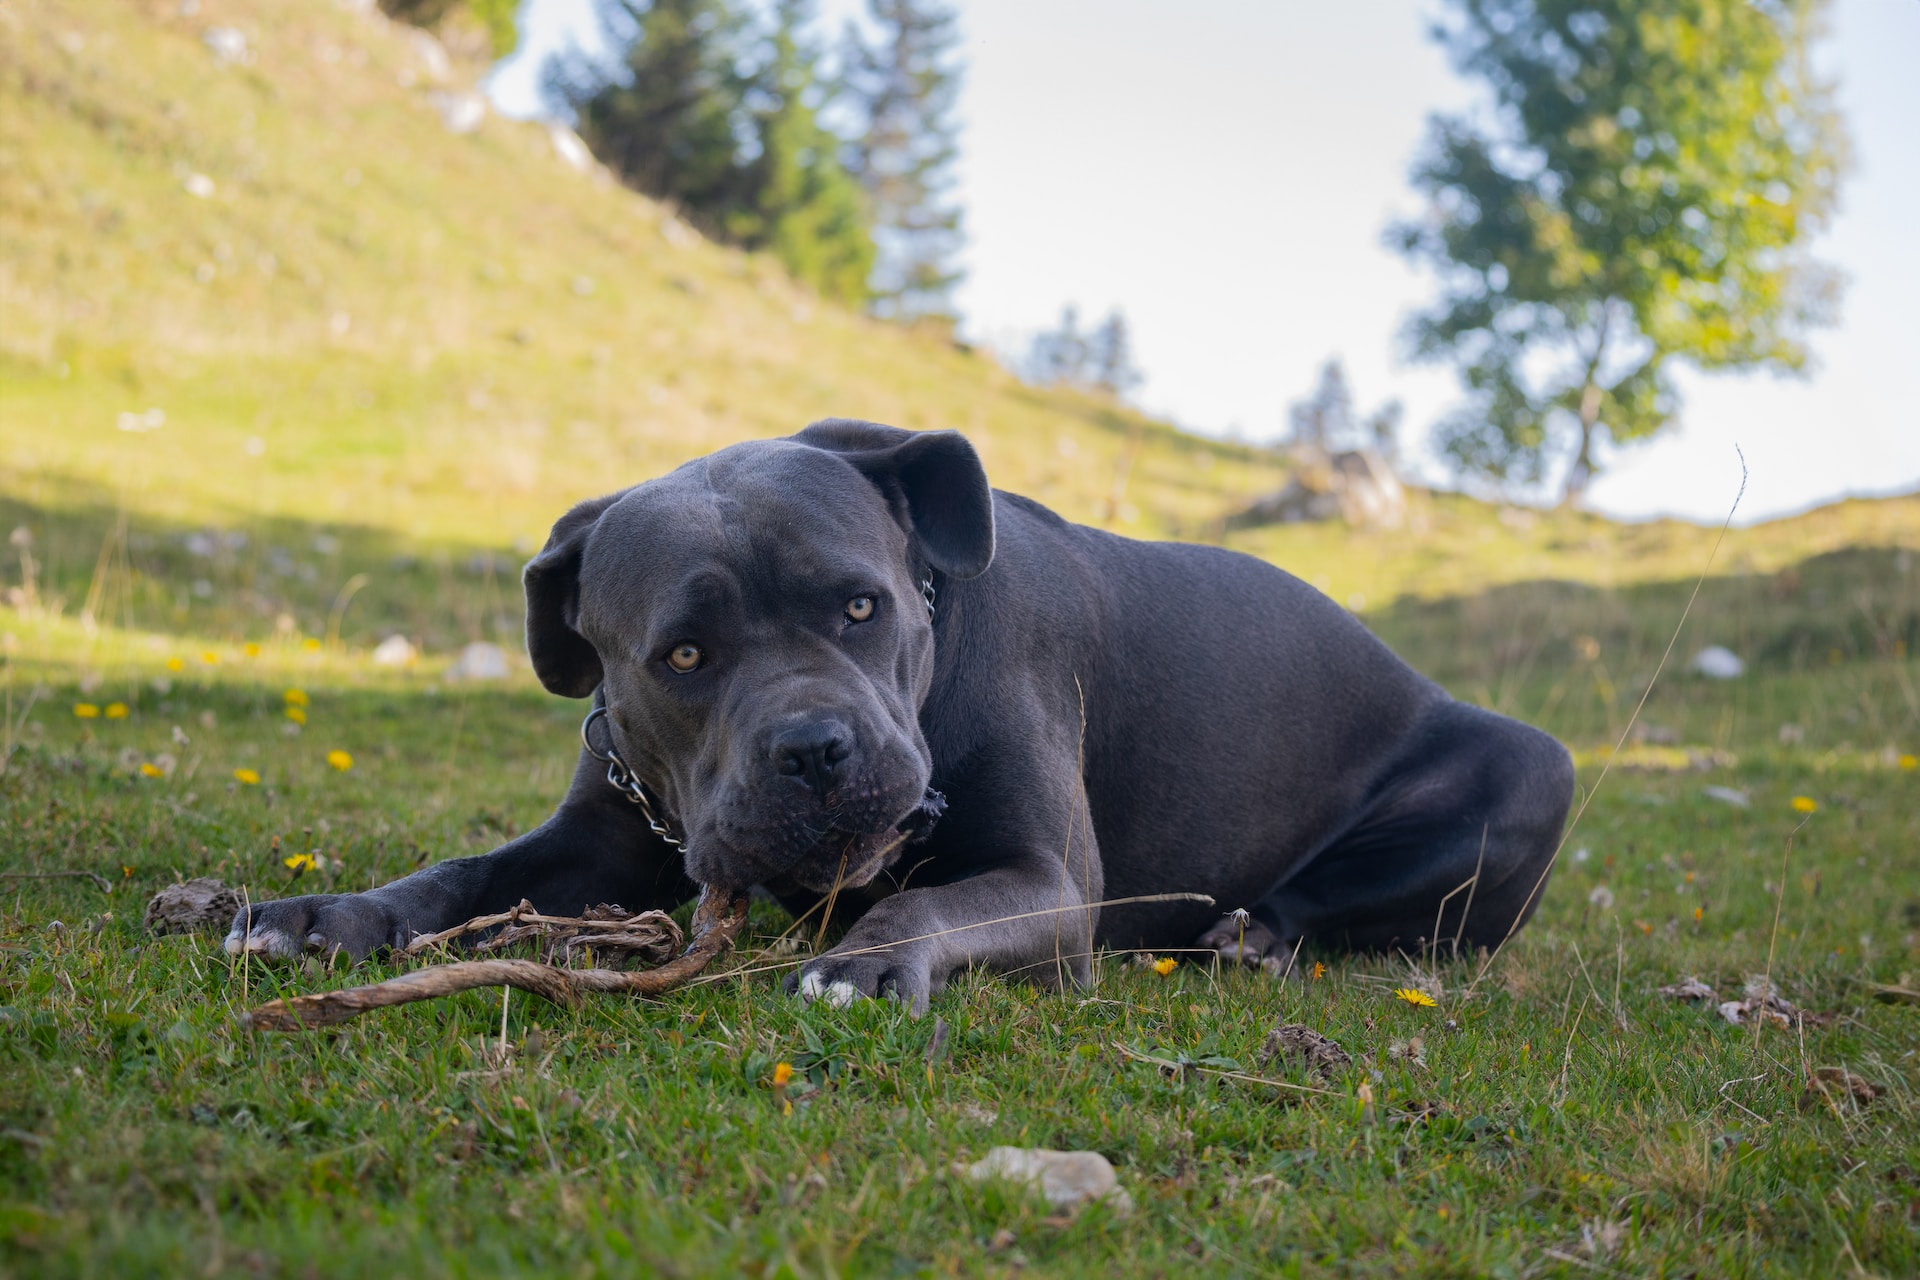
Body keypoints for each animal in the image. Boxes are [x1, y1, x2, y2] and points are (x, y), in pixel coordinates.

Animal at [228, 420, 1574, 1013]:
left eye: (861, 604)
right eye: (683, 653)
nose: (816, 750)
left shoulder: (1046, 878)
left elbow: (932, 899)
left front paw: (868, 957)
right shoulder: (599, 839)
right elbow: (459, 872)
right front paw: (324, 913)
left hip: (1536, 762)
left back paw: (1252, 933)